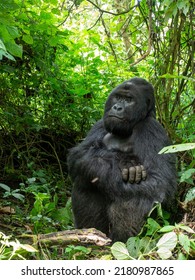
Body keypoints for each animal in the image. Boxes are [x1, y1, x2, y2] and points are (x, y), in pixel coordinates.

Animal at [67, 77, 177, 242]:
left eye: (129, 100)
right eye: (118, 97)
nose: (117, 107)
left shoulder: (152, 129)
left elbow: (160, 181)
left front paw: (127, 164)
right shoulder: (100, 123)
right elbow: (80, 154)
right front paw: (125, 162)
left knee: (135, 195)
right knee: (86, 176)